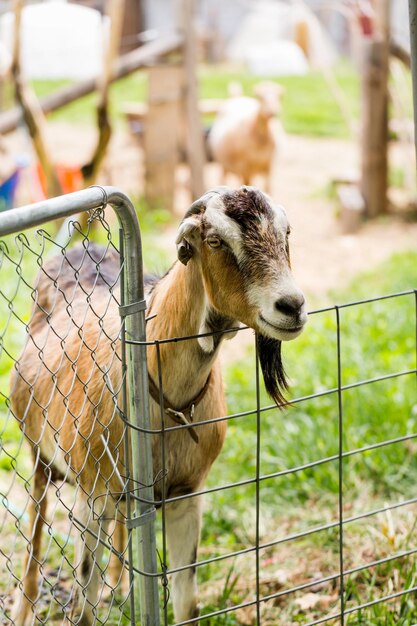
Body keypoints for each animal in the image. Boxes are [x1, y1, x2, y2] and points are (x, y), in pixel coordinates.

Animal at [11, 183, 308, 620]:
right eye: (215, 240)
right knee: (34, 526)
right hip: (39, 456)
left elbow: (187, 603)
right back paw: (25, 608)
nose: (291, 306)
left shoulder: (187, 493)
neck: (169, 402)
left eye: (286, 233)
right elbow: (83, 607)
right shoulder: (90, 497)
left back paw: (120, 587)